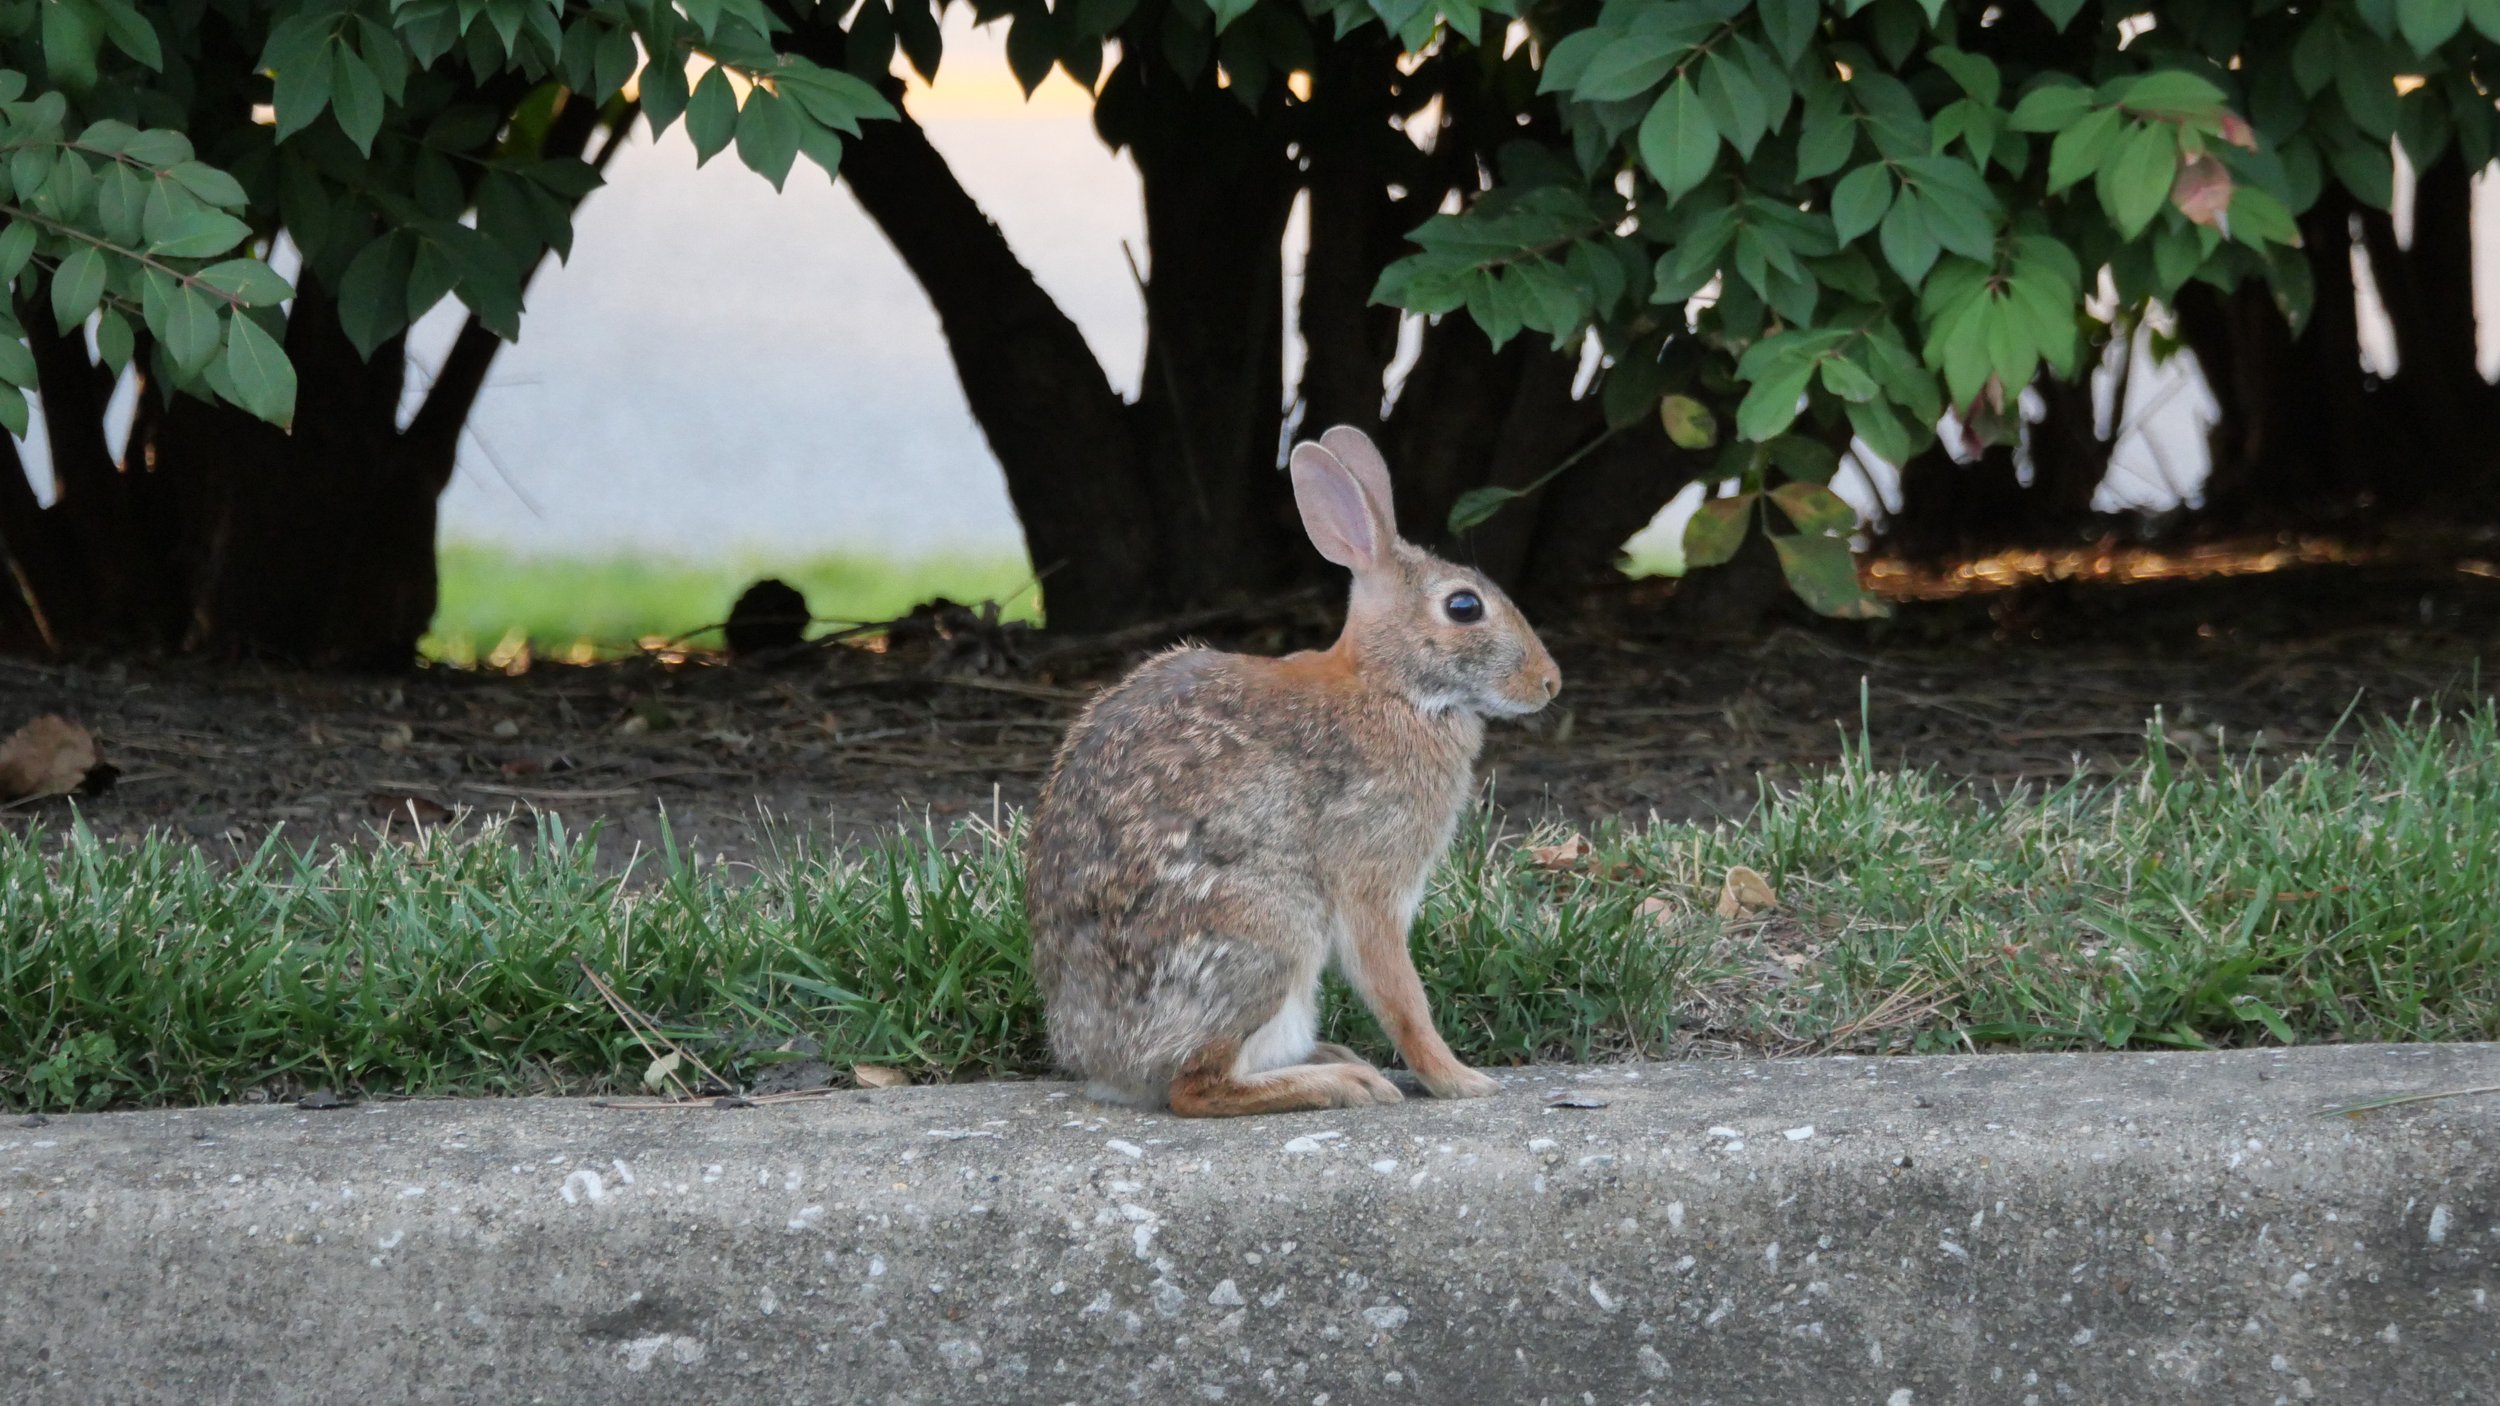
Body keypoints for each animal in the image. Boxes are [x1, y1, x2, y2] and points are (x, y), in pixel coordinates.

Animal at [1024, 425, 1561, 1117]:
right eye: (1464, 607)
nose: (1549, 682)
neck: (1388, 687)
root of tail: (1103, 1063)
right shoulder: (1371, 875)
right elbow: (1398, 992)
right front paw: (1460, 1080)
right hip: (1269, 932)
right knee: (1196, 1088)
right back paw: (1346, 1083)